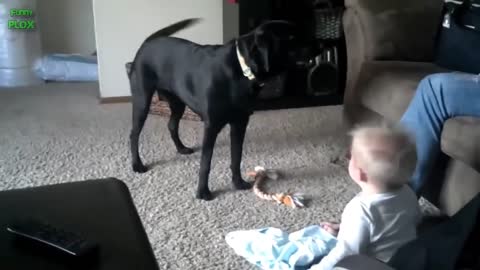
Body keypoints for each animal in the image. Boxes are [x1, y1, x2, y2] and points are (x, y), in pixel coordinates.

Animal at [125, 18, 298, 200]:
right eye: (292, 39)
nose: (314, 44)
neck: (241, 69)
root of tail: (147, 43)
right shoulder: (211, 126)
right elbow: (205, 163)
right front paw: (203, 191)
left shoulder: (240, 124)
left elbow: (236, 157)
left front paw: (238, 183)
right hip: (142, 101)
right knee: (134, 134)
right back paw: (137, 164)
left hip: (177, 103)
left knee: (171, 125)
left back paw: (181, 148)